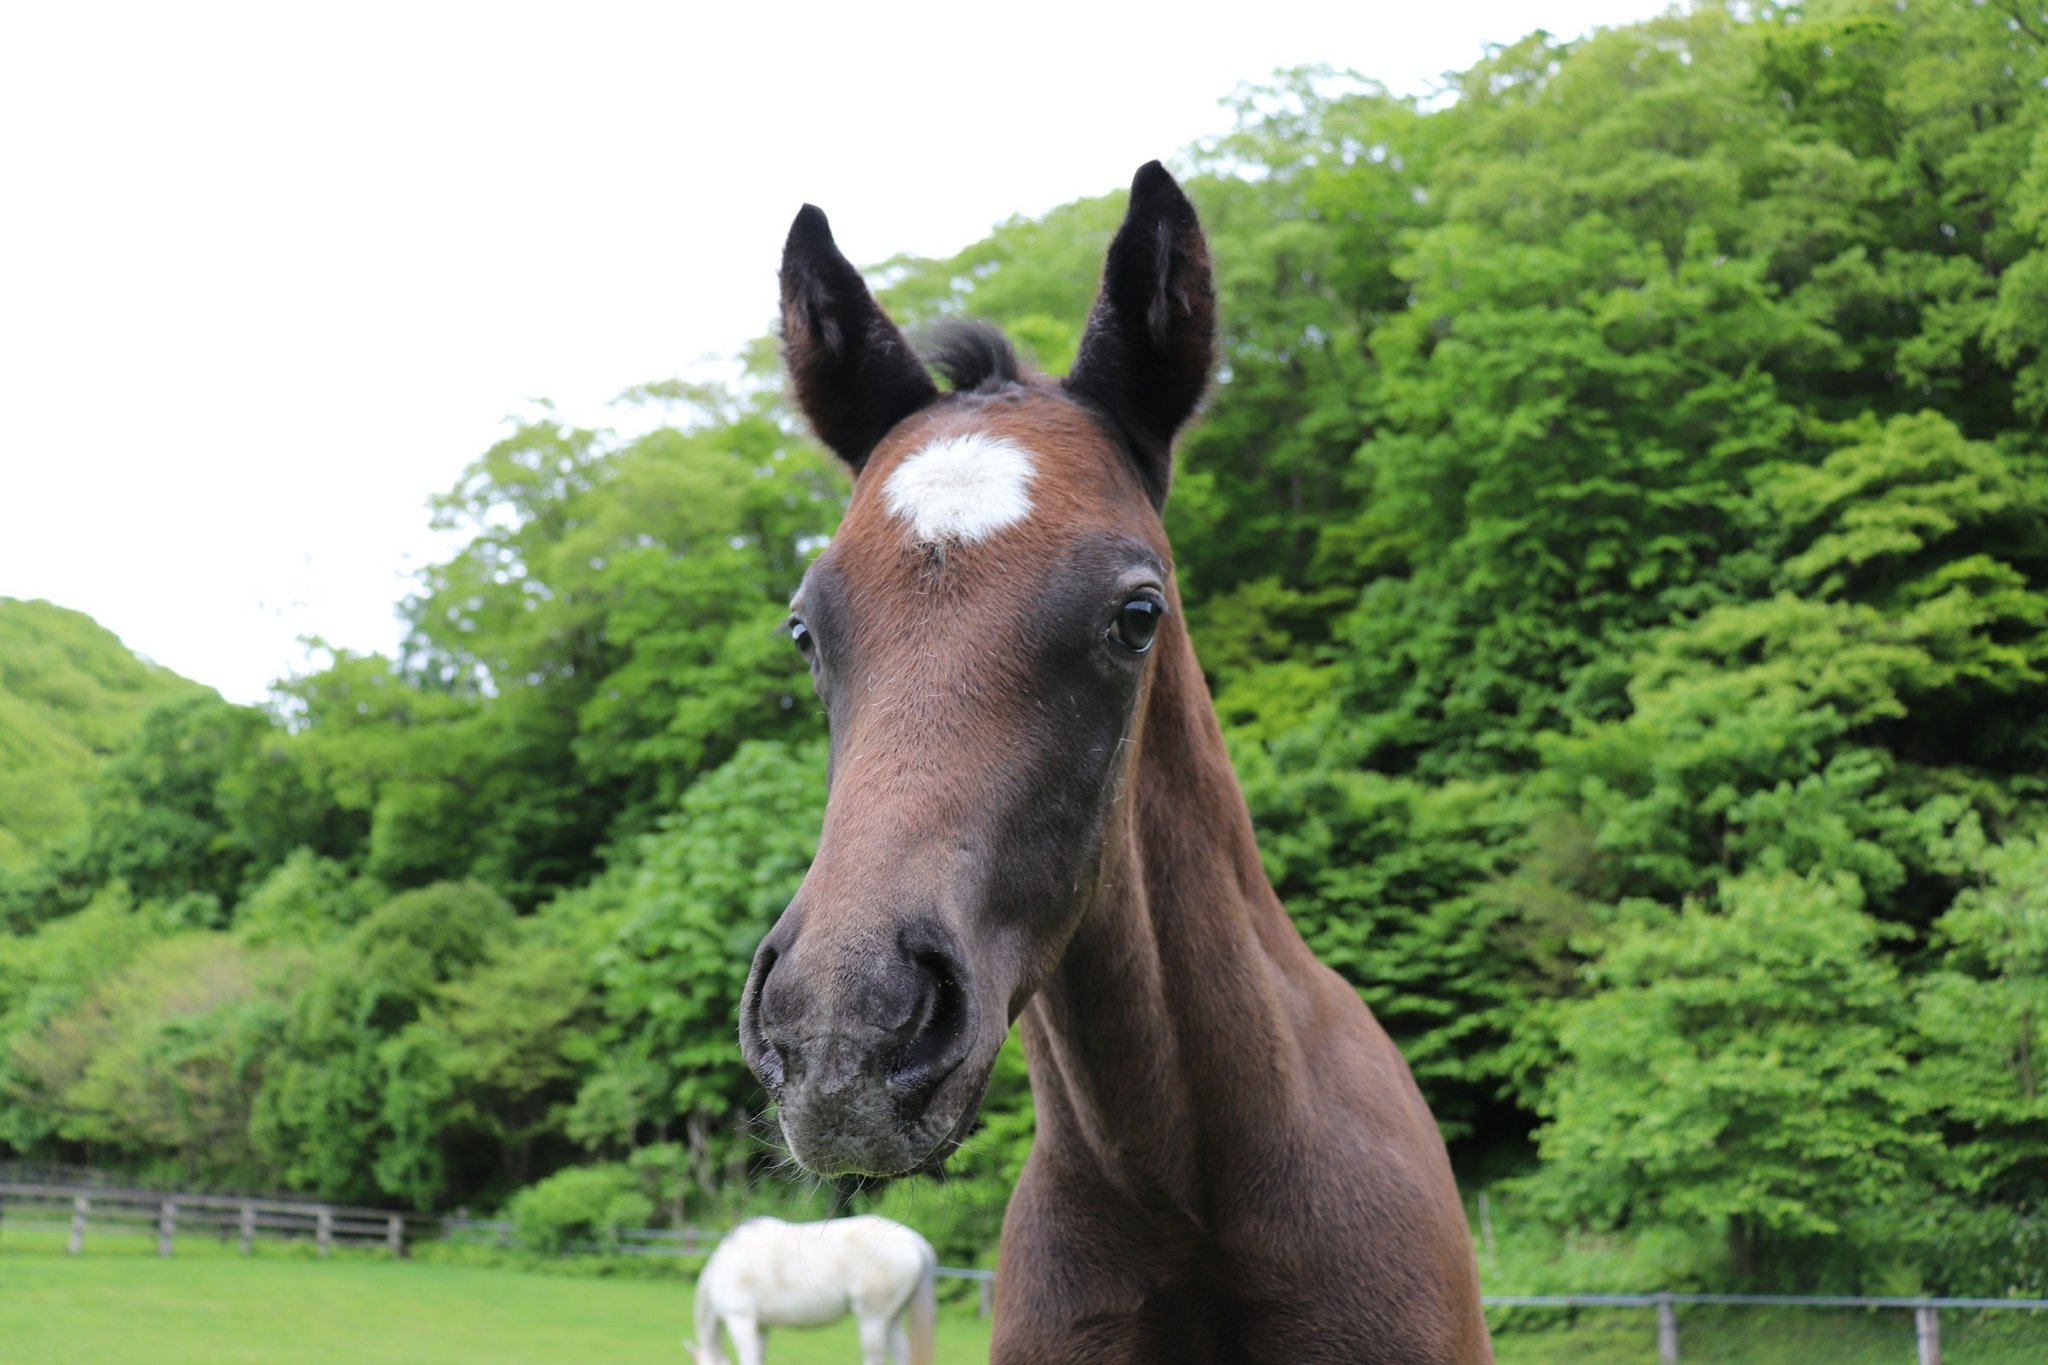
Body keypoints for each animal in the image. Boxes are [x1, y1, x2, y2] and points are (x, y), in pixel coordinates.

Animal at [689, 1214, 937, 1365]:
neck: (724, 1265)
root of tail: (915, 1241)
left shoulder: (740, 1320)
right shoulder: (761, 1326)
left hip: (873, 1320)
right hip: (892, 1319)